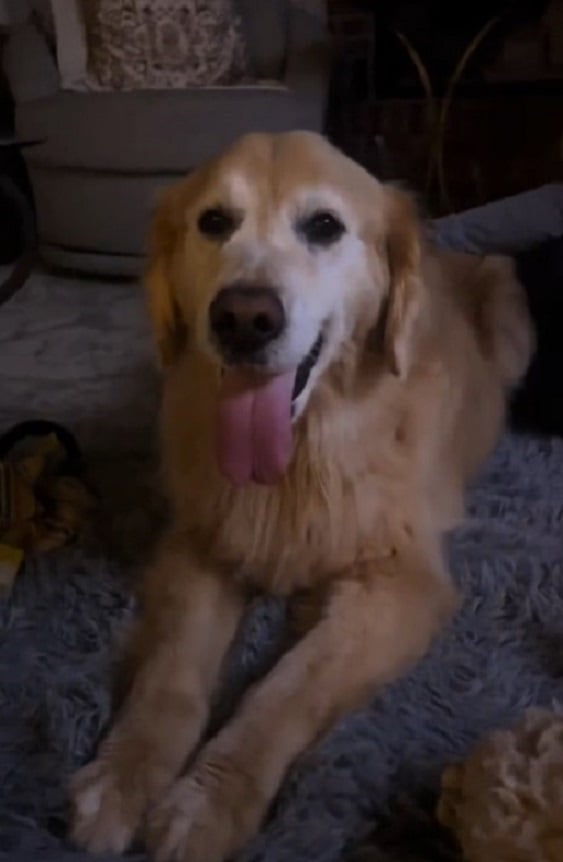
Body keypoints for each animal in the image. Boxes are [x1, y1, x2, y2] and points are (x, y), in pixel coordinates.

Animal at [69, 130, 532, 862]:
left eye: (323, 226)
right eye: (214, 221)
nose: (243, 317)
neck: (298, 457)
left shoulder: (399, 585)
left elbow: (284, 690)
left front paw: (208, 801)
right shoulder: (202, 544)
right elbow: (169, 676)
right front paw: (123, 776)